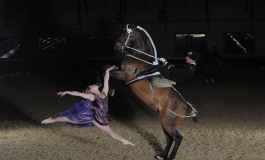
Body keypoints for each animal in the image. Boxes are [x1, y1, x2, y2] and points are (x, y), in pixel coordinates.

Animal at [110, 23, 196, 160]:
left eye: (125, 33)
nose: (116, 47)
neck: (140, 58)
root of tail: (185, 107)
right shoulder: (122, 74)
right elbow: (106, 70)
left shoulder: (124, 75)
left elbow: (107, 72)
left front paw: (109, 90)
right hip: (164, 122)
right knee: (169, 138)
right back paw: (162, 155)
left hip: (167, 122)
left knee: (177, 138)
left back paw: (170, 157)